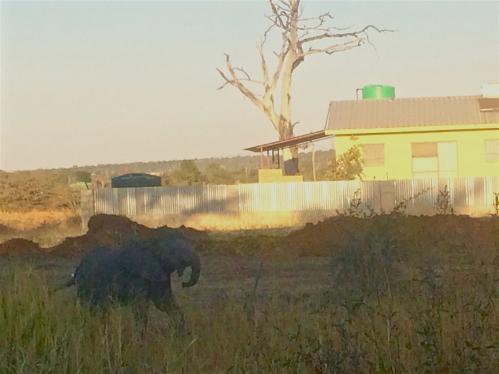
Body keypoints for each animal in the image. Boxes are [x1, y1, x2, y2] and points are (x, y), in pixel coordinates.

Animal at [65, 237, 200, 334]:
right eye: (175, 253)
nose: (183, 284)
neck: (154, 245)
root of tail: (77, 269)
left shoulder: (160, 275)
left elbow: (163, 303)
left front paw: (181, 335)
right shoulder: (137, 278)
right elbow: (141, 307)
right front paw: (140, 342)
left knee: (101, 310)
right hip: (86, 285)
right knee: (88, 307)